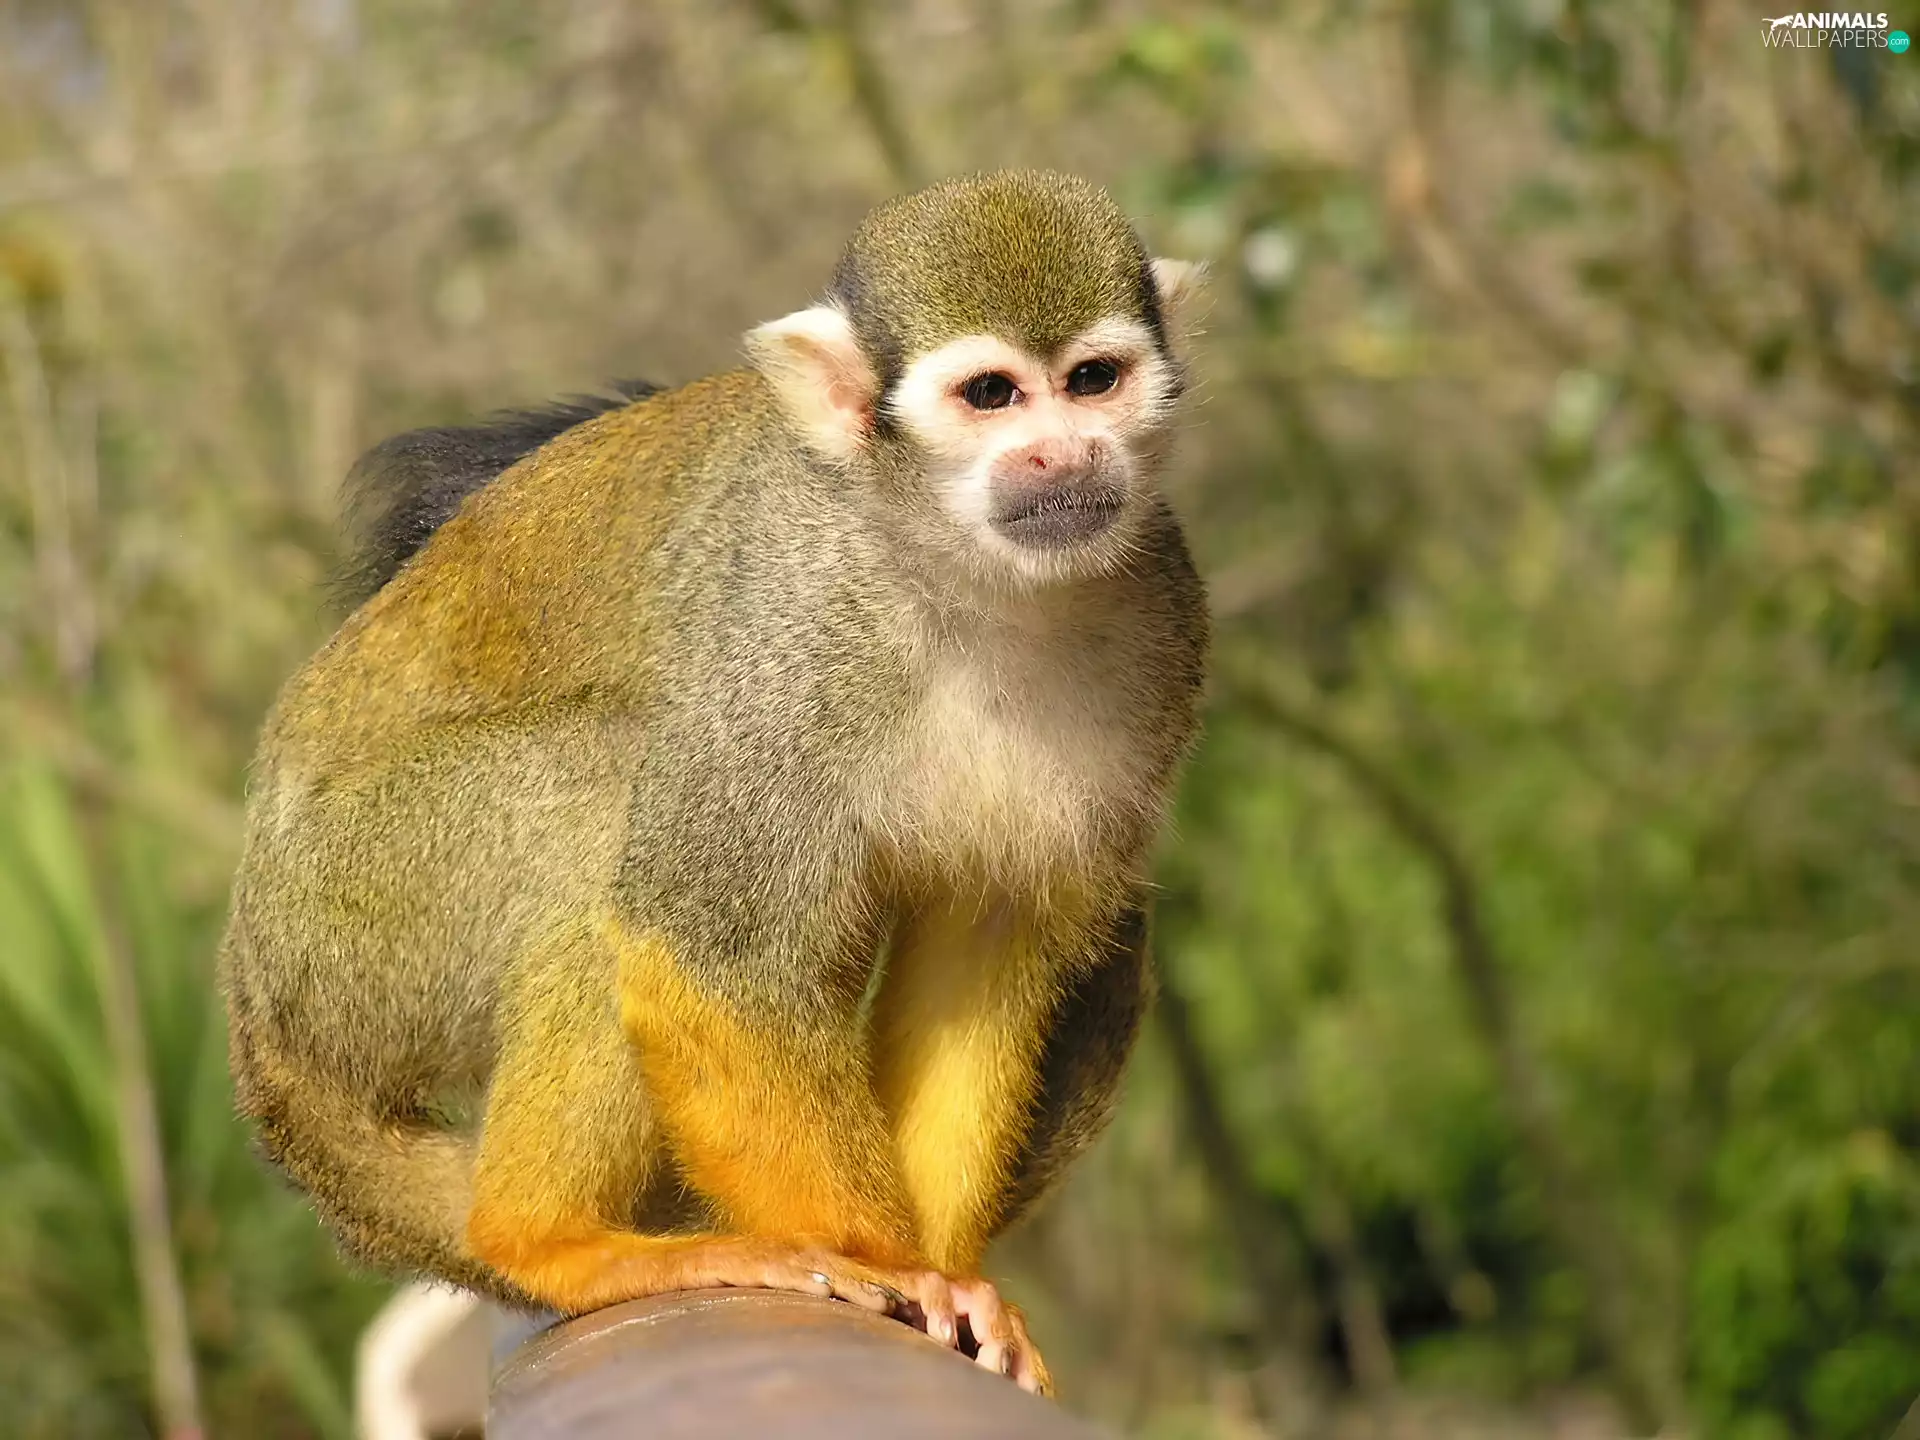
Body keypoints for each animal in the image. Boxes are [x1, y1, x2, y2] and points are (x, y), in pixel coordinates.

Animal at [220, 169, 1209, 1395]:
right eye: (992, 395)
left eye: (1092, 381)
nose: (1062, 457)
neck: (958, 573)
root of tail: (256, 1004)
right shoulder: (785, 632)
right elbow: (706, 949)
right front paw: (895, 1265)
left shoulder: (1161, 615)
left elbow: (987, 945)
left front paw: (954, 1279)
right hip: (353, 919)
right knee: (606, 793)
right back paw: (550, 1240)